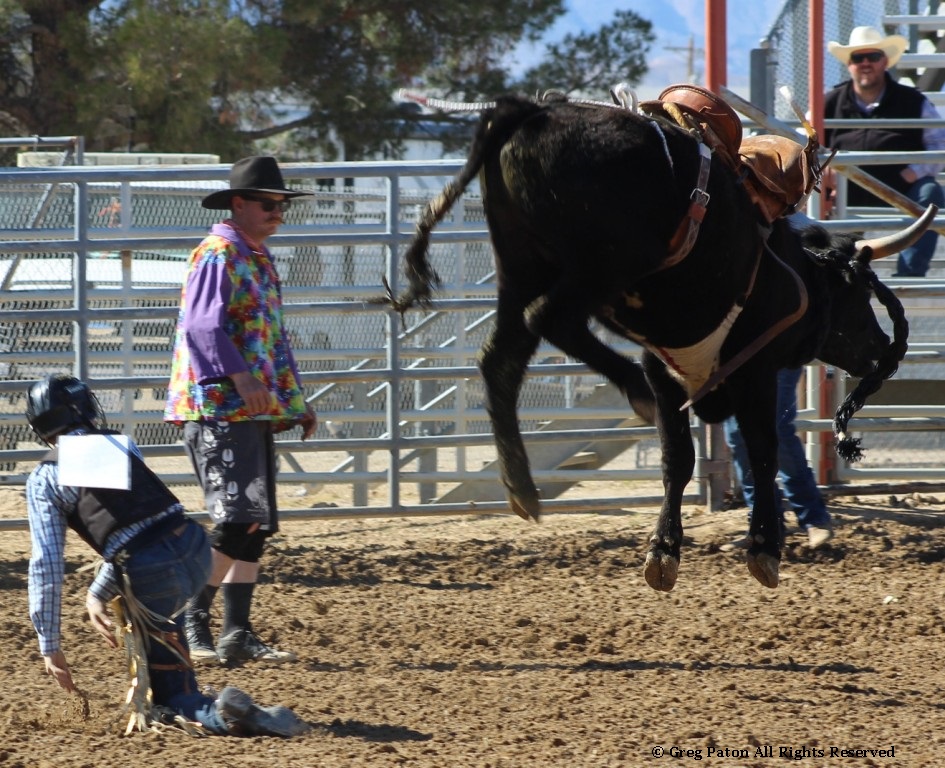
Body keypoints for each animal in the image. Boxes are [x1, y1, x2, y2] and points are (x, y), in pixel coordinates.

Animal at [384, 92, 935, 591]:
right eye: (859, 293)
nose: (879, 348)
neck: (792, 268)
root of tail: (533, 112)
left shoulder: (670, 364)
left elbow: (679, 459)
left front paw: (665, 551)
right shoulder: (746, 367)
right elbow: (759, 452)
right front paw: (762, 547)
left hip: (519, 265)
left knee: (501, 359)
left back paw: (521, 484)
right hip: (603, 264)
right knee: (548, 320)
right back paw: (627, 394)